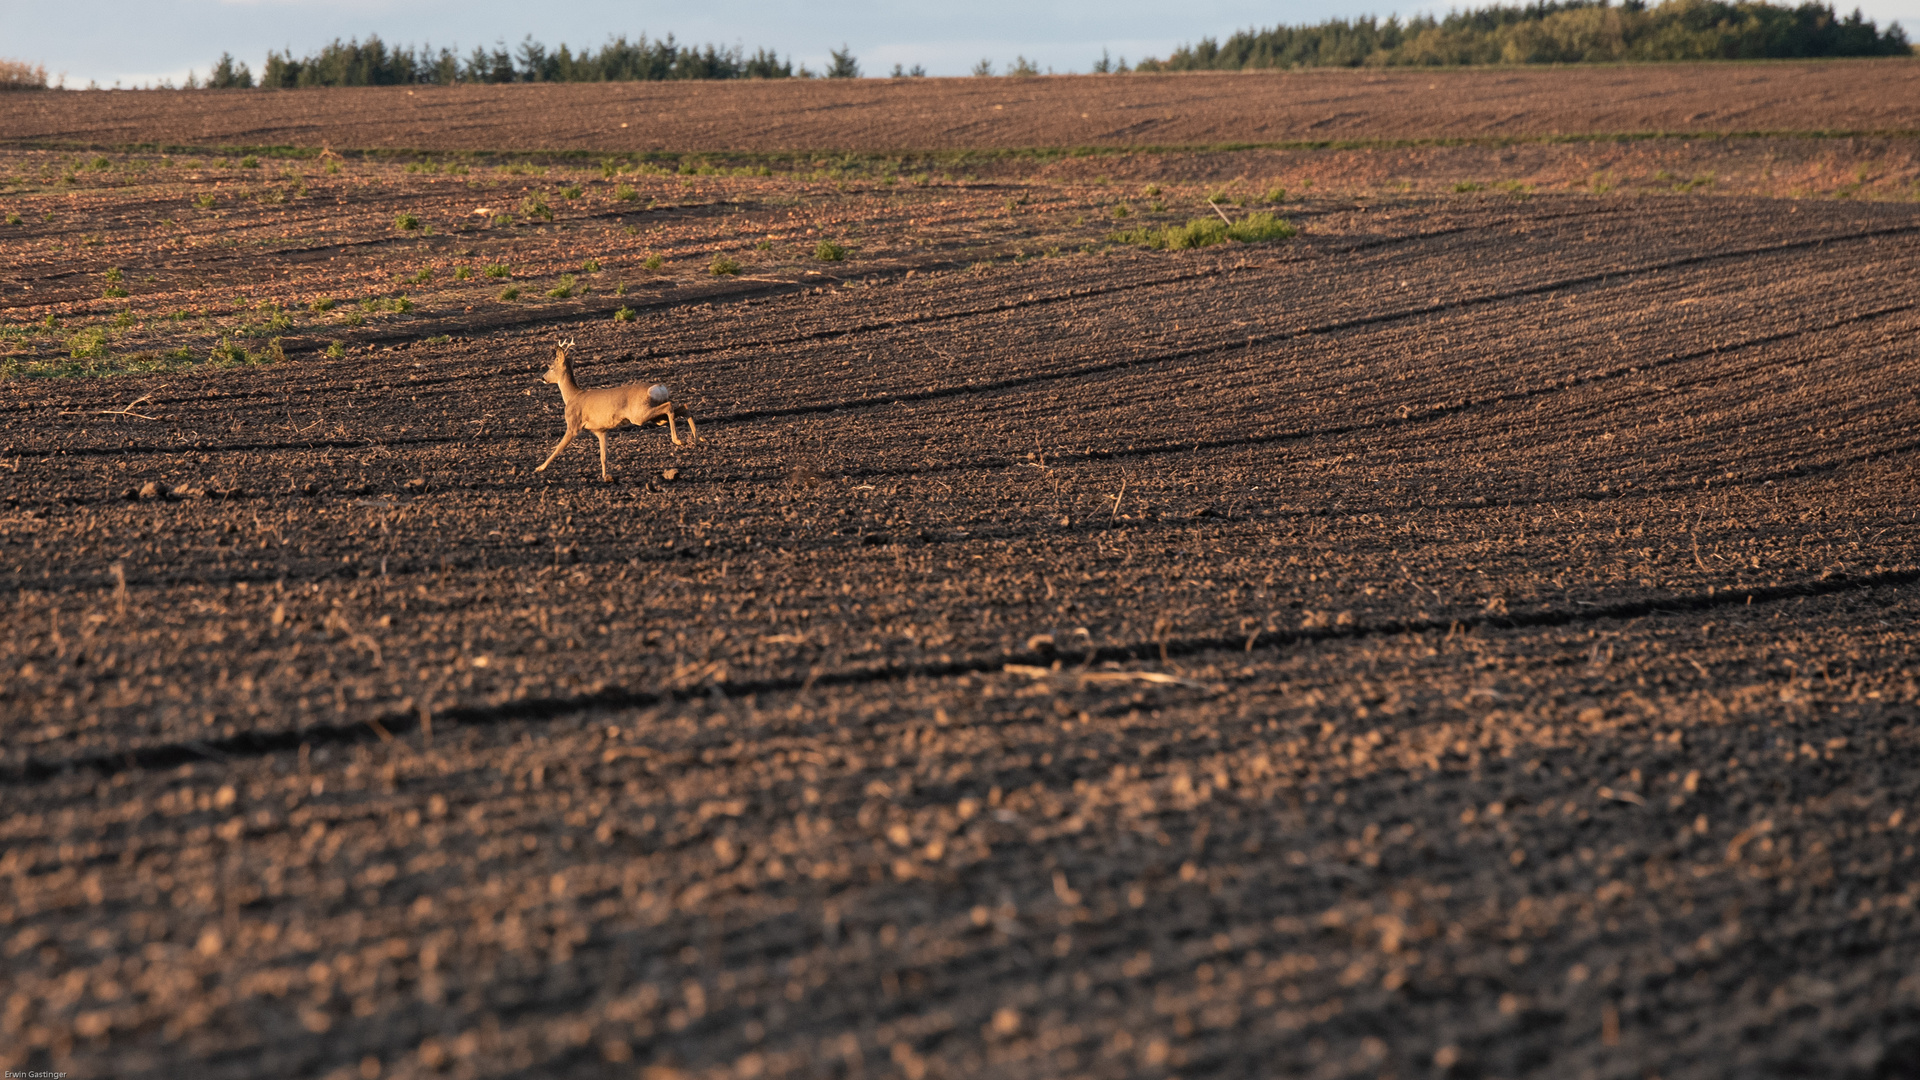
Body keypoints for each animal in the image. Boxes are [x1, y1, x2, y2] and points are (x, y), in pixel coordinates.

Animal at [533, 336, 698, 478]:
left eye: (551, 367)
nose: (542, 378)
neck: (572, 396)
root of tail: (660, 387)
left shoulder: (573, 424)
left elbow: (558, 448)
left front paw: (540, 468)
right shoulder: (601, 430)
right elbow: (603, 456)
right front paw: (606, 476)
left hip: (639, 414)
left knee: (670, 406)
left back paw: (679, 440)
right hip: (656, 417)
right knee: (682, 407)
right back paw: (697, 438)